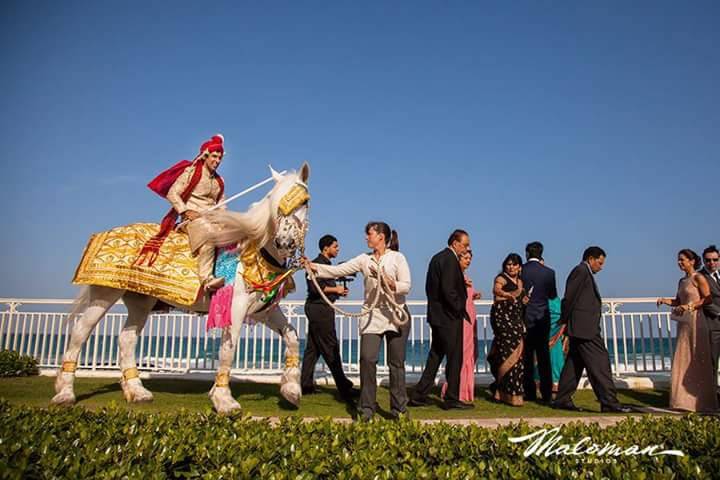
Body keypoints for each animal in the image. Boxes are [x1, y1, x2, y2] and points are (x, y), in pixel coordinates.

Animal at [50, 163, 310, 414]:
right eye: (276, 204)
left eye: (304, 202)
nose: (285, 242)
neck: (256, 252)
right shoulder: (234, 308)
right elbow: (229, 348)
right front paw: (224, 400)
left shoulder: (263, 311)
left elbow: (292, 336)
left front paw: (291, 390)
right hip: (105, 294)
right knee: (80, 332)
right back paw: (65, 392)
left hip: (139, 300)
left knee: (127, 338)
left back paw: (136, 391)